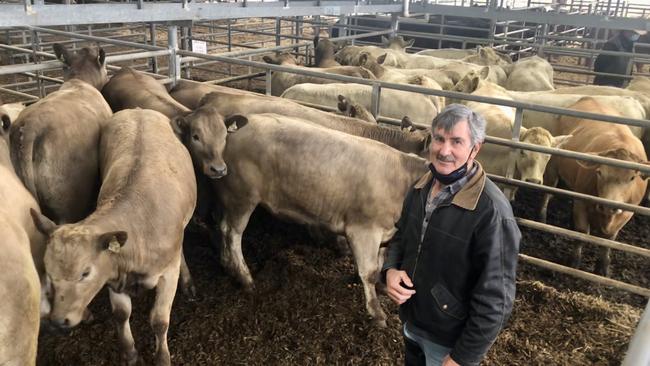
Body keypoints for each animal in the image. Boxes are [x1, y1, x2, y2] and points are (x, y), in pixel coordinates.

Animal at [30, 109, 196, 366]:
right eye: (48, 271)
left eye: (85, 273)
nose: (58, 321)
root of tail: (138, 110)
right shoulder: (113, 274)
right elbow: (121, 314)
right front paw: (130, 353)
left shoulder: (168, 273)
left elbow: (159, 320)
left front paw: (162, 357)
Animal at [202, 112, 426, 326]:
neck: (402, 179)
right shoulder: (364, 230)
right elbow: (369, 272)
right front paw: (376, 312)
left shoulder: (385, 235)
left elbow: (380, 264)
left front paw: (382, 287)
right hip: (242, 197)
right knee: (232, 234)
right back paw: (245, 277)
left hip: (229, 198)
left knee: (221, 227)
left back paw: (227, 265)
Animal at [540, 97, 644, 274]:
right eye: (599, 172)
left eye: (632, 177)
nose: (608, 205)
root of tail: (588, 98)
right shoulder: (581, 201)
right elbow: (582, 233)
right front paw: (574, 261)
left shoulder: (627, 213)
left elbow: (608, 240)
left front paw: (603, 266)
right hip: (553, 165)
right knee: (548, 192)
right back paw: (542, 216)